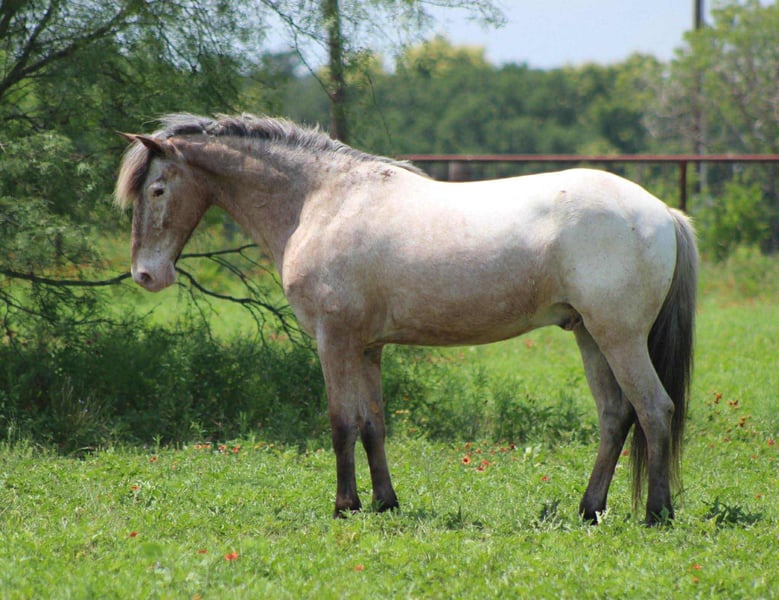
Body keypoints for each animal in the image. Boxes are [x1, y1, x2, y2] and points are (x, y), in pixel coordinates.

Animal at [115, 113, 697, 525]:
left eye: (157, 189)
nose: (145, 275)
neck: (319, 201)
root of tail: (662, 212)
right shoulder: (369, 347)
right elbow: (373, 424)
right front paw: (384, 502)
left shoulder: (333, 341)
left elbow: (341, 423)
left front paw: (344, 506)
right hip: (590, 337)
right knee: (615, 417)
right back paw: (589, 508)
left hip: (618, 338)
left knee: (654, 410)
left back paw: (656, 513)